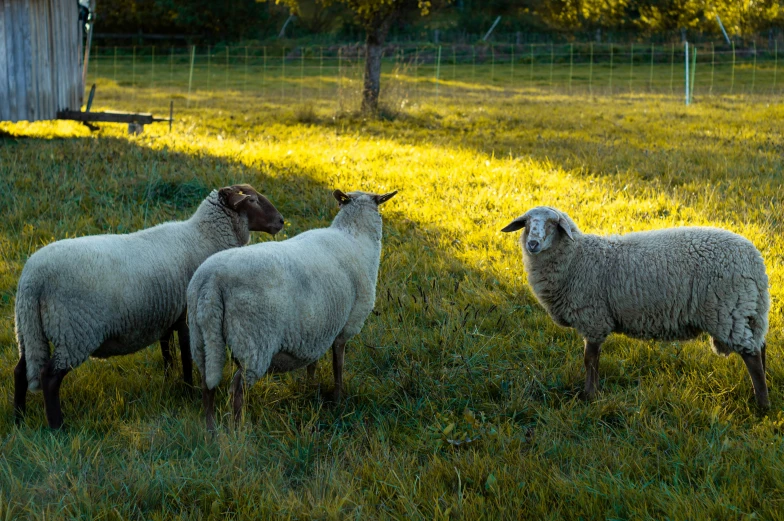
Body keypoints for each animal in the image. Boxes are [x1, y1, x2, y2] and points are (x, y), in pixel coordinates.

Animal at [13, 183, 284, 426]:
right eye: (252, 200)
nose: (281, 221)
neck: (202, 236)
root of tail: (32, 279)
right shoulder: (185, 316)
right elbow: (186, 357)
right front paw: (188, 391)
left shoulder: (166, 316)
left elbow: (168, 354)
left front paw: (170, 382)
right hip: (73, 332)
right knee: (49, 378)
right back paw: (57, 426)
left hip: (29, 329)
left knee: (20, 371)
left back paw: (19, 418)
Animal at [502, 206, 772, 406]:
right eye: (527, 223)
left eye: (552, 224)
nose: (533, 244)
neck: (577, 258)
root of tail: (755, 260)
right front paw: (592, 393)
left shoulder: (593, 318)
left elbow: (590, 360)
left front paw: (589, 396)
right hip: (747, 310)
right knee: (760, 346)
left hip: (727, 310)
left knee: (752, 354)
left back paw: (761, 405)